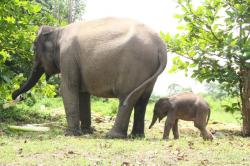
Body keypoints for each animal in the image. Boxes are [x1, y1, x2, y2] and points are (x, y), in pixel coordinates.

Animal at [12, 17, 168, 138]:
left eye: (34, 49)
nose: (14, 96)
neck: (58, 30)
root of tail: (161, 46)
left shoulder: (67, 55)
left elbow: (67, 88)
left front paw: (70, 134)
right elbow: (83, 93)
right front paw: (87, 131)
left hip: (134, 68)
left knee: (126, 98)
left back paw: (112, 136)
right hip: (148, 73)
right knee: (142, 101)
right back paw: (137, 136)